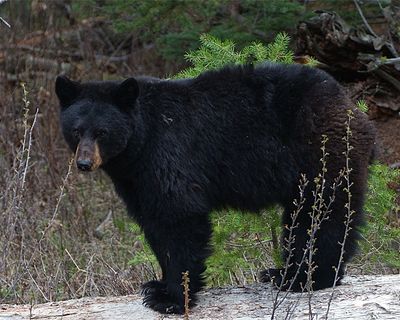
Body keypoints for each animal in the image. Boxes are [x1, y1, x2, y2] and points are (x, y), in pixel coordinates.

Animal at [55, 63, 376, 316]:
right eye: (76, 130)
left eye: (102, 132)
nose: (84, 163)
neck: (140, 144)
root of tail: (351, 106)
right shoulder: (136, 179)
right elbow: (154, 223)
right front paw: (157, 285)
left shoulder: (169, 154)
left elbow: (179, 220)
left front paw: (171, 298)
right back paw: (283, 272)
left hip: (318, 153)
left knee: (321, 212)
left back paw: (305, 278)